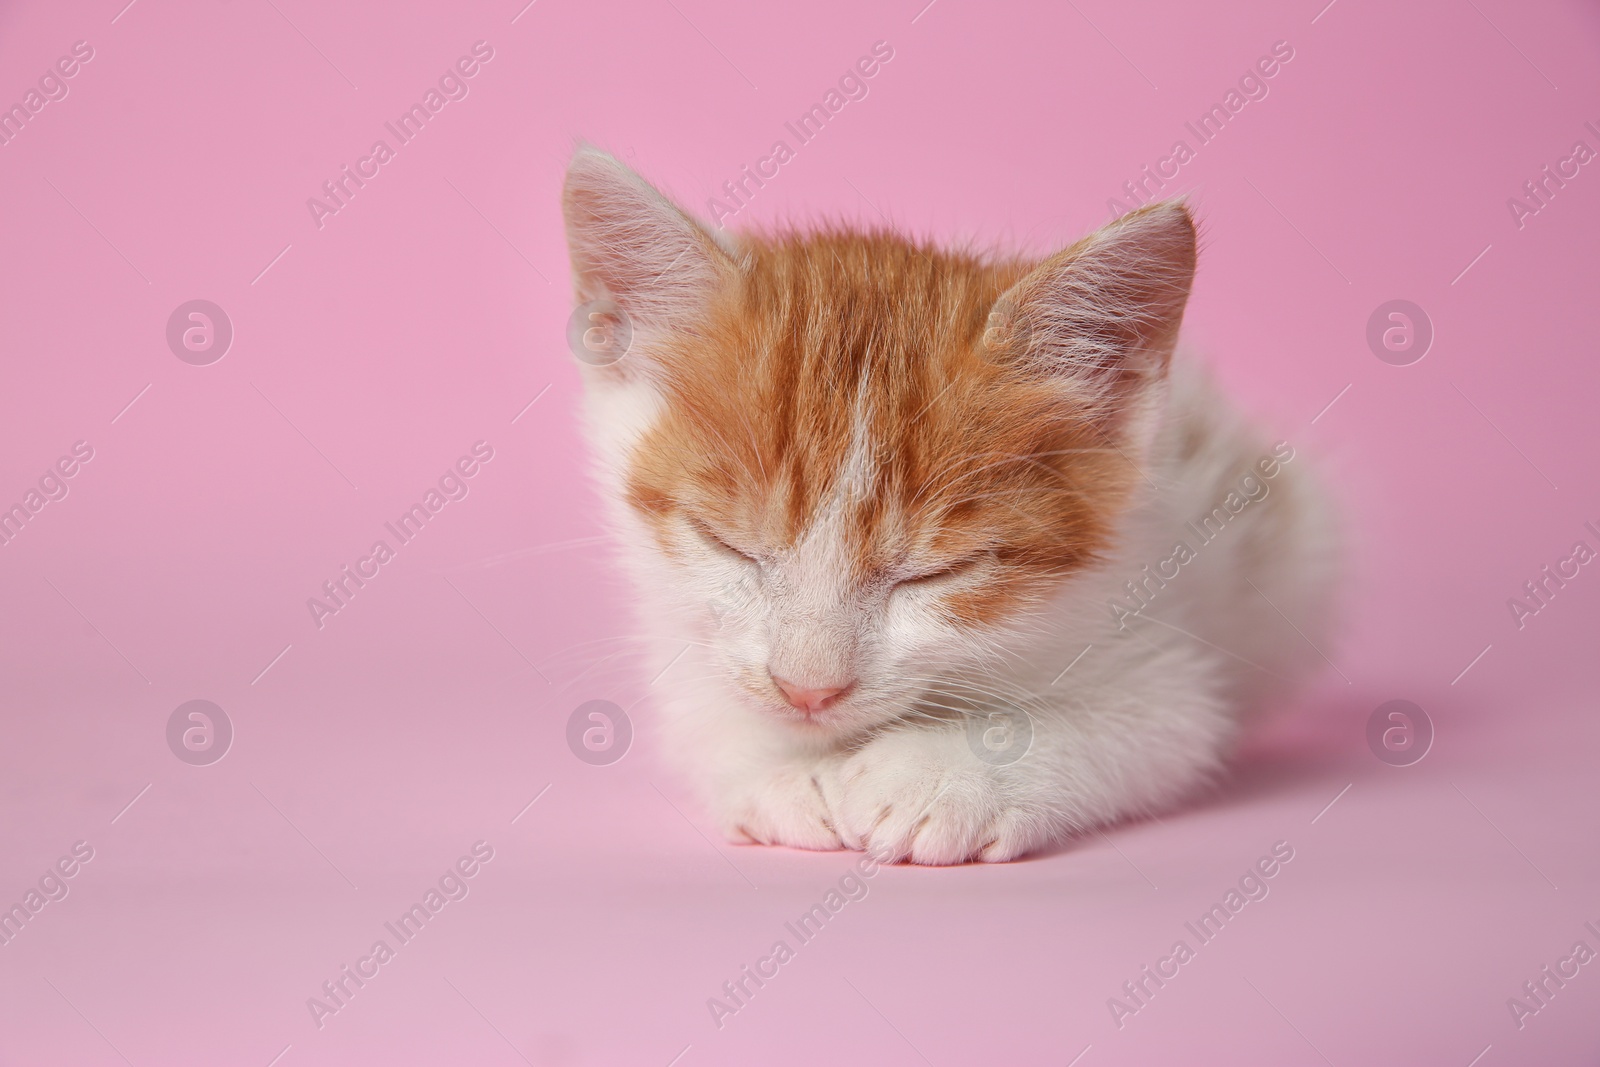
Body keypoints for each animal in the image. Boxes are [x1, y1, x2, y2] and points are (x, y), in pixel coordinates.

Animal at [563, 147, 1337, 870]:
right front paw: (785, 771)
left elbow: (1156, 720)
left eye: (937, 573)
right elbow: (704, 703)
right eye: (724, 542)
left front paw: (940, 776)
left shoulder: (1166, 661)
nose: (808, 690)